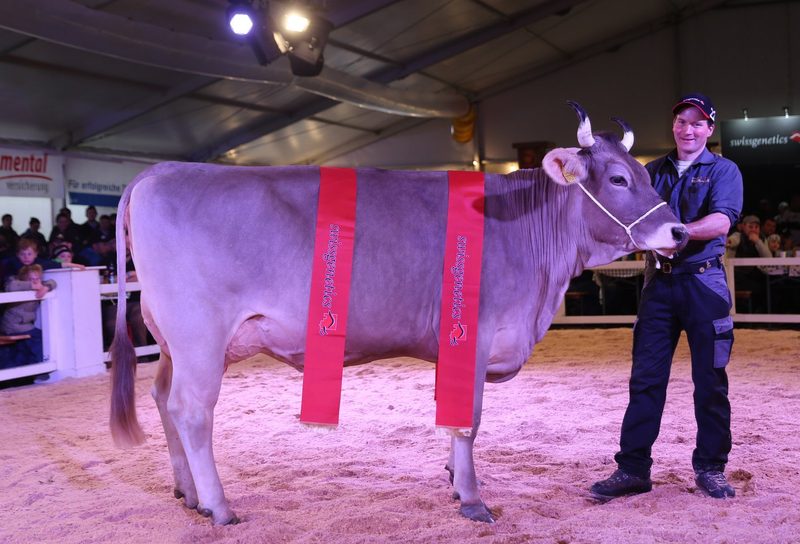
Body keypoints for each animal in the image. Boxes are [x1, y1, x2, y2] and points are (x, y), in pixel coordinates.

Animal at [109, 103, 688, 525]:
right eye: (618, 179)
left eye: (646, 174)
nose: (680, 231)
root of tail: (160, 171)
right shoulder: (474, 336)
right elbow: (468, 420)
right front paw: (473, 500)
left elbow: (452, 418)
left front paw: (455, 481)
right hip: (199, 337)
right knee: (191, 410)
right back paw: (219, 506)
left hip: (170, 343)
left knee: (161, 399)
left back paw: (186, 492)